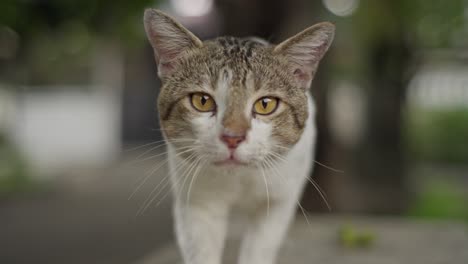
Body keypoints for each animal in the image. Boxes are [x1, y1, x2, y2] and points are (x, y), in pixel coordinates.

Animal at [143, 8, 332, 264]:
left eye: (265, 104)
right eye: (202, 101)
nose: (232, 137)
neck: (239, 179)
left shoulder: (279, 200)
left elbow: (260, 247)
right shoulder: (197, 200)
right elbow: (201, 249)